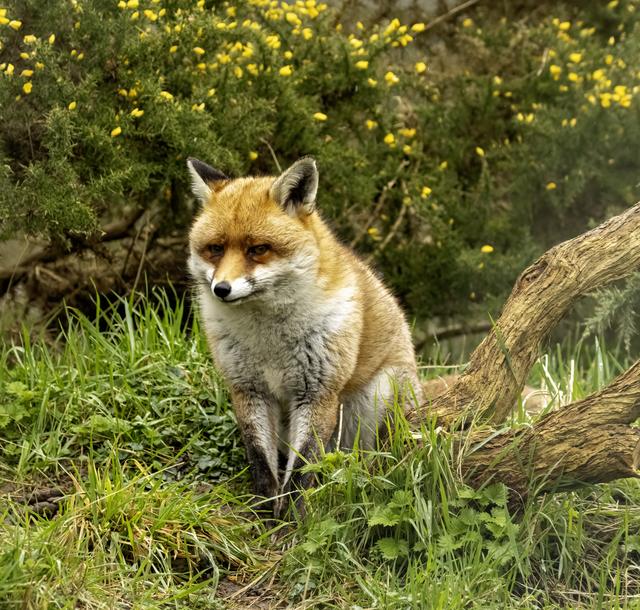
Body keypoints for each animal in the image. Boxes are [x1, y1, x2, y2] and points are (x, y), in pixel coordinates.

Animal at [188, 156, 422, 512]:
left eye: (258, 249)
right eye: (215, 248)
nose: (221, 289)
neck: (268, 342)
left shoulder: (318, 392)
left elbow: (303, 467)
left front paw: (294, 516)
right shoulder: (249, 389)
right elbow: (261, 461)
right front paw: (265, 510)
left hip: (374, 400)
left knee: (363, 462)